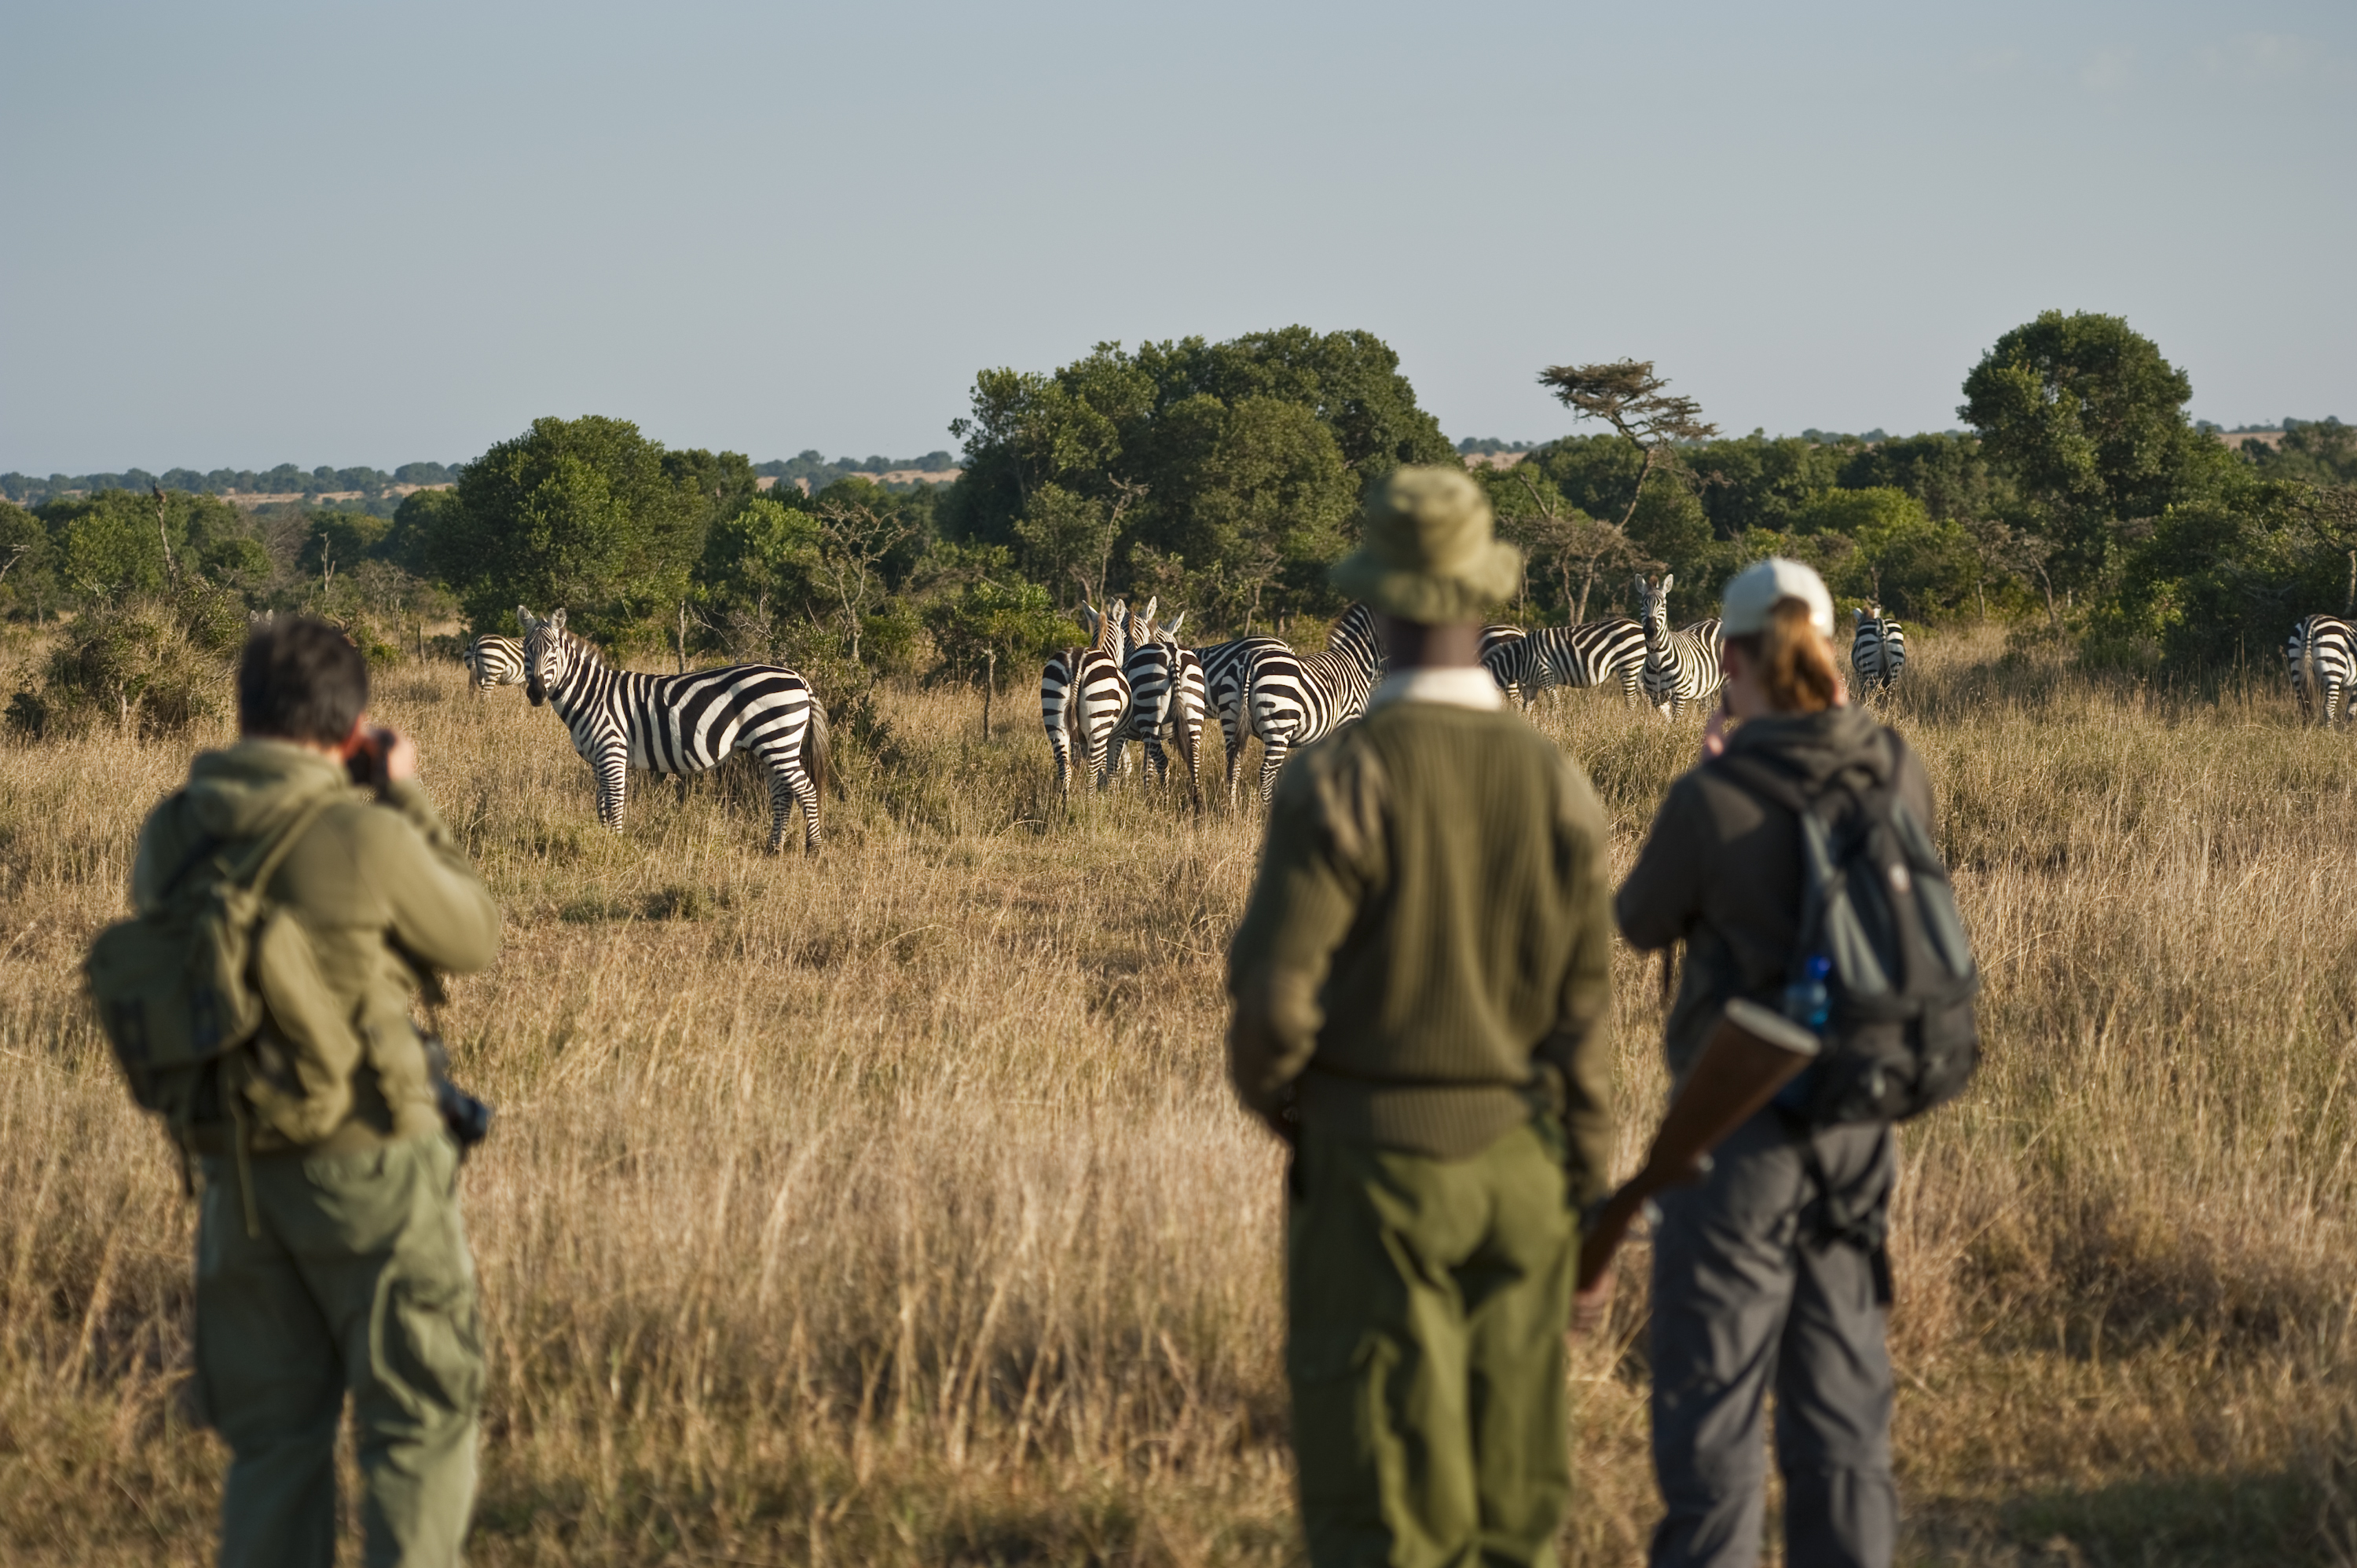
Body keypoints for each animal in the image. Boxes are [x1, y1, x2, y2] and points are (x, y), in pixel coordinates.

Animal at [514, 608, 830, 858]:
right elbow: (601, 805)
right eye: (526, 649)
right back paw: (773, 848)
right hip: (769, 747)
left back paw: (814, 850)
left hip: (778, 742)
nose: (536, 692)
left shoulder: (612, 751)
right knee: (783, 794)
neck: (590, 695)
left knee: (806, 790)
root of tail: (798, 677)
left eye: (553, 649)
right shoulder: (596, 760)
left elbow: (614, 802)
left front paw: (614, 845)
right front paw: (604, 840)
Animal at [1042, 599, 1131, 797]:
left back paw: (1065, 803)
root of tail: (1077, 662)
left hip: (1055, 720)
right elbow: (1110, 770)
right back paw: (1091, 803)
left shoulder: (1081, 739)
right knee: (1092, 770)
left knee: (1065, 768)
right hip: (1099, 724)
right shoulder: (1118, 734)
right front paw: (1111, 795)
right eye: (1123, 635)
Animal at [1235, 601, 1376, 806]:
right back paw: (1267, 809)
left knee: (1234, 764)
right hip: (1279, 727)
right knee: (1266, 772)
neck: (1356, 662)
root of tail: (1252, 666)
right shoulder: (1350, 720)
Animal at [1631, 573, 1725, 716]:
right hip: (1707, 687)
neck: (1657, 660)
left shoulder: (1679, 695)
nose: (1651, 631)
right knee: (1707, 708)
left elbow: (1676, 721)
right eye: (1642, 604)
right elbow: (1667, 720)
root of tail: (1717, 620)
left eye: (1663, 605)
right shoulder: (1656, 698)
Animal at [2282, 617, 2357, 726]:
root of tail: (2310, 622)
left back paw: (2306, 728)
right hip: (2333, 669)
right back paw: (2328, 730)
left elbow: (2350, 713)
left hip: (2296, 666)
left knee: (2303, 704)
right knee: (2328, 708)